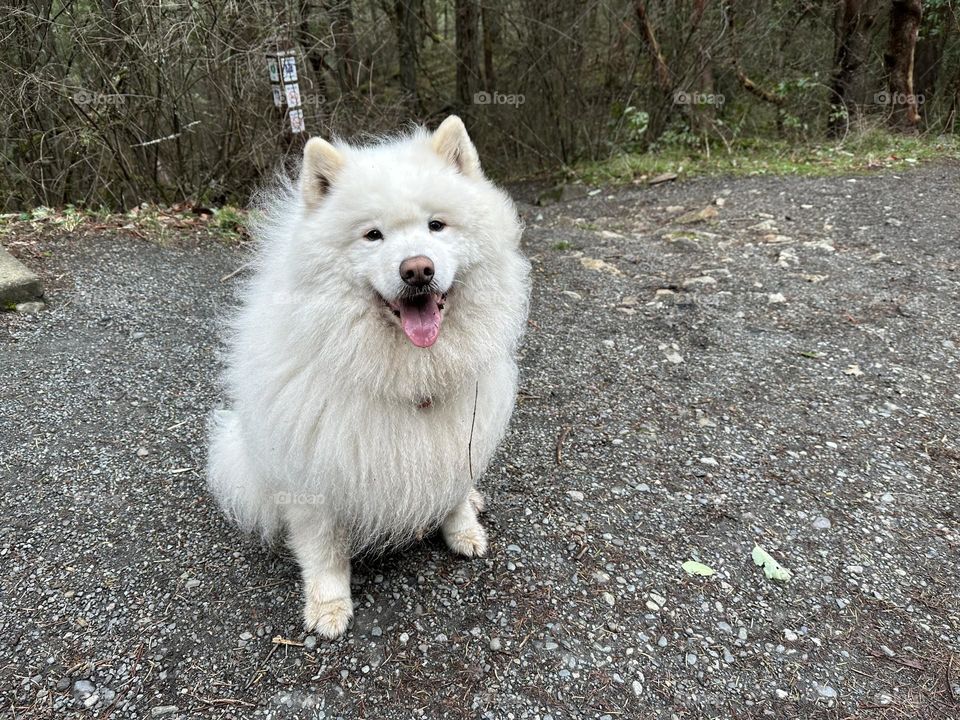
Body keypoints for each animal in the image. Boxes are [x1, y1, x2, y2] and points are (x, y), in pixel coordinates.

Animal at [207, 118, 532, 640]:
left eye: (436, 225)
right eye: (373, 235)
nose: (417, 269)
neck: (406, 370)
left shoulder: (457, 435)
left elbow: (454, 495)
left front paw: (463, 530)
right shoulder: (313, 472)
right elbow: (322, 550)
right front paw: (328, 606)